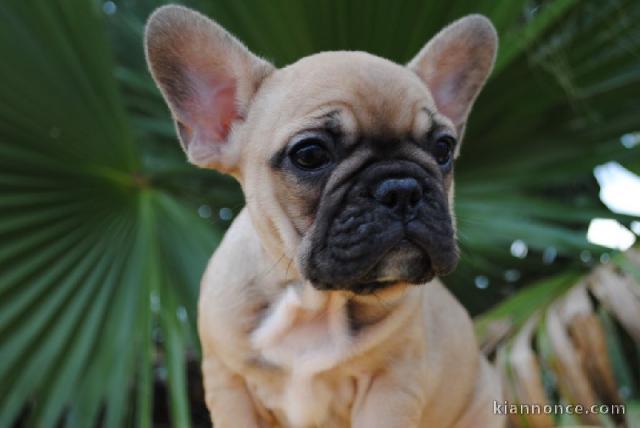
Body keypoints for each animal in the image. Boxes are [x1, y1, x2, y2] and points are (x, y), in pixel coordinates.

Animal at [146, 5, 504, 426]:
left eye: (444, 148)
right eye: (310, 154)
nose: (402, 189)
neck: (313, 303)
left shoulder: (391, 385)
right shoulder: (229, 385)